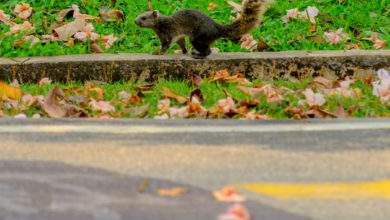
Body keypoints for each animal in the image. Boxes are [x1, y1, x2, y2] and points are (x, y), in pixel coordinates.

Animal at [134, 0, 274, 58]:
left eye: (144, 18)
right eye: (139, 15)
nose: (134, 21)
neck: (160, 23)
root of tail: (217, 28)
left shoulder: (167, 34)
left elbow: (165, 45)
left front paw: (158, 52)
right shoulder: (179, 36)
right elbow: (181, 43)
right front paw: (184, 51)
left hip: (197, 38)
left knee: (208, 51)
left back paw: (198, 55)